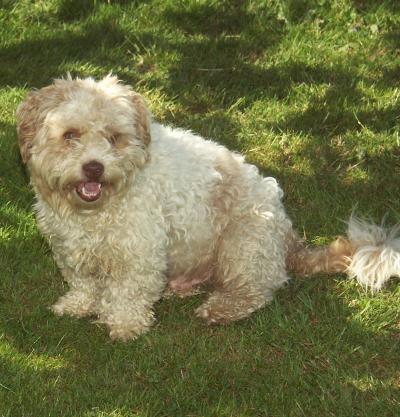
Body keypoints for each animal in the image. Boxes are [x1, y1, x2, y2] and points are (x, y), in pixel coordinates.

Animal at [15, 75, 400, 342]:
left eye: (113, 137)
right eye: (70, 135)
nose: (94, 167)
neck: (95, 210)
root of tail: (288, 237)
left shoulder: (139, 251)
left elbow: (128, 291)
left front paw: (124, 324)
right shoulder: (69, 246)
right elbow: (83, 282)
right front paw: (78, 305)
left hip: (243, 240)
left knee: (258, 289)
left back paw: (220, 307)